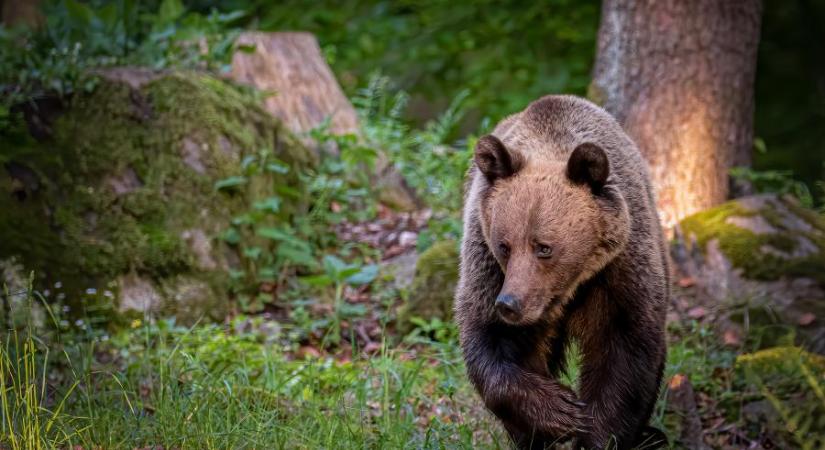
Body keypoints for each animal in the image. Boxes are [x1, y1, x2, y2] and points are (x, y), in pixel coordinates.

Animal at [458, 96, 668, 450]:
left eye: (544, 247)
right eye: (504, 245)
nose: (510, 304)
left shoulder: (620, 269)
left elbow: (626, 351)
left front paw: (595, 433)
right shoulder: (485, 263)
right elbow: (487, 340)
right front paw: (559, 410)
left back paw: (651, 436)